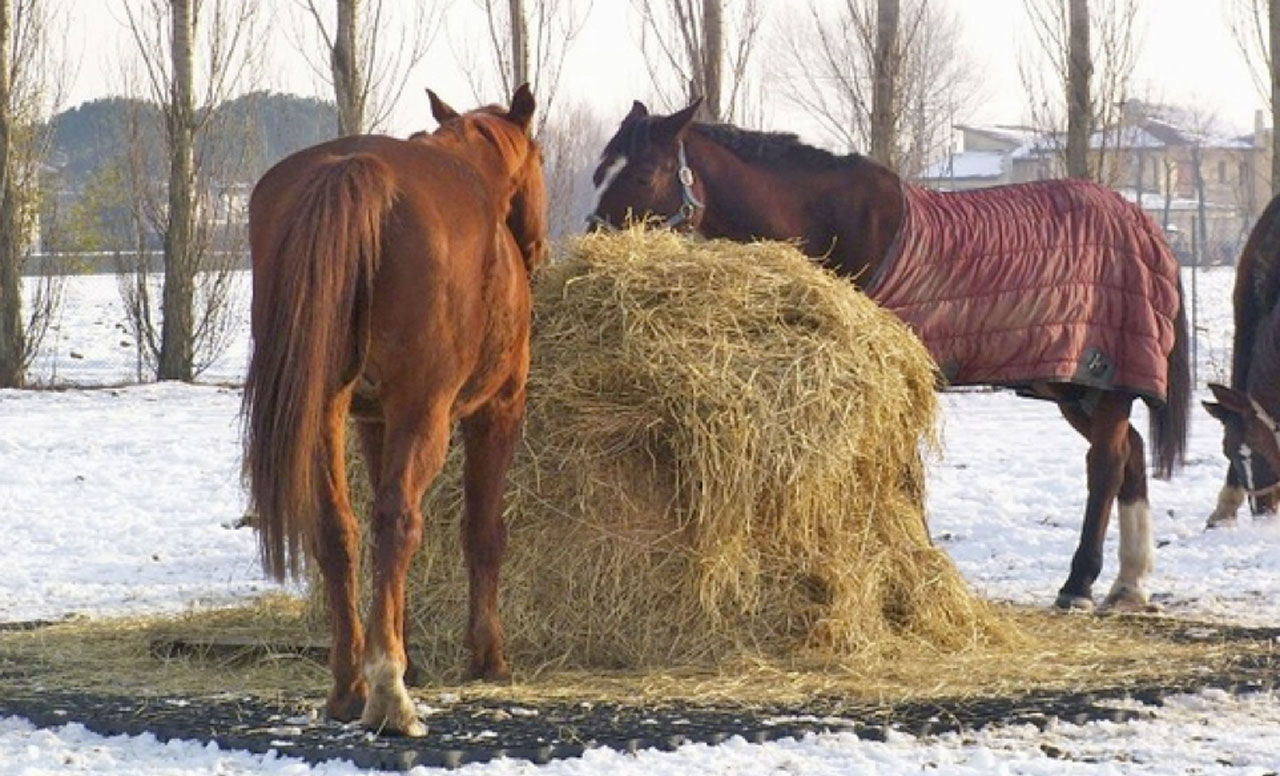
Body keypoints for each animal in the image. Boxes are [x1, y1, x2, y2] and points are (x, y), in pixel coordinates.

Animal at [588, 100, 1187, 617]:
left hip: (1105, 378)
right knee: (1131, 454)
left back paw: (1081, 584)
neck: (830, 221)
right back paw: (1129, 584)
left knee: (1106, 463)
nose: (590, 244)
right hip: (1069, 385)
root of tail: (1146, 224)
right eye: (599, 171)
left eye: (643, 174)